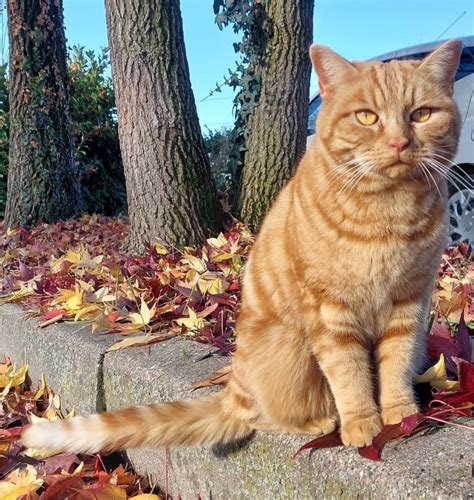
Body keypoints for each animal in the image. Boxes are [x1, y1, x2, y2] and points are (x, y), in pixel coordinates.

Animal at [22, 39, 462, 454]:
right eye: (367, 116)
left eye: (421, 114)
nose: (399, 143)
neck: (388, 212)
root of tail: (234, 385)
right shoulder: (330, 311)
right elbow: (349, 373)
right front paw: (362, 422)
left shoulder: (408, 302)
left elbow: (395, 363)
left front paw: (401, 413)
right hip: (292, 351)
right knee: (267, 416)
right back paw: (321, 422)